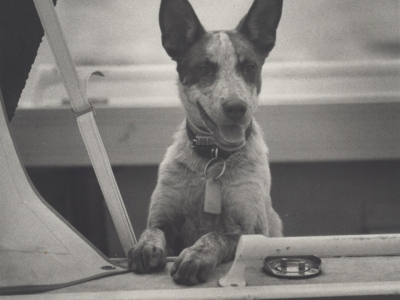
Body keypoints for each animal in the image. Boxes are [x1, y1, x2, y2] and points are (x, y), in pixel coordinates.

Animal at [127, 0, 282, 286]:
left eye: (249, 67)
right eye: (204, 69)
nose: (236, 107)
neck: (213, 158)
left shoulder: (251, 232)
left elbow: (214, 236)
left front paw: (195, 256)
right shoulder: (163, 218)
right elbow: (151, 231)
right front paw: (145, 247)